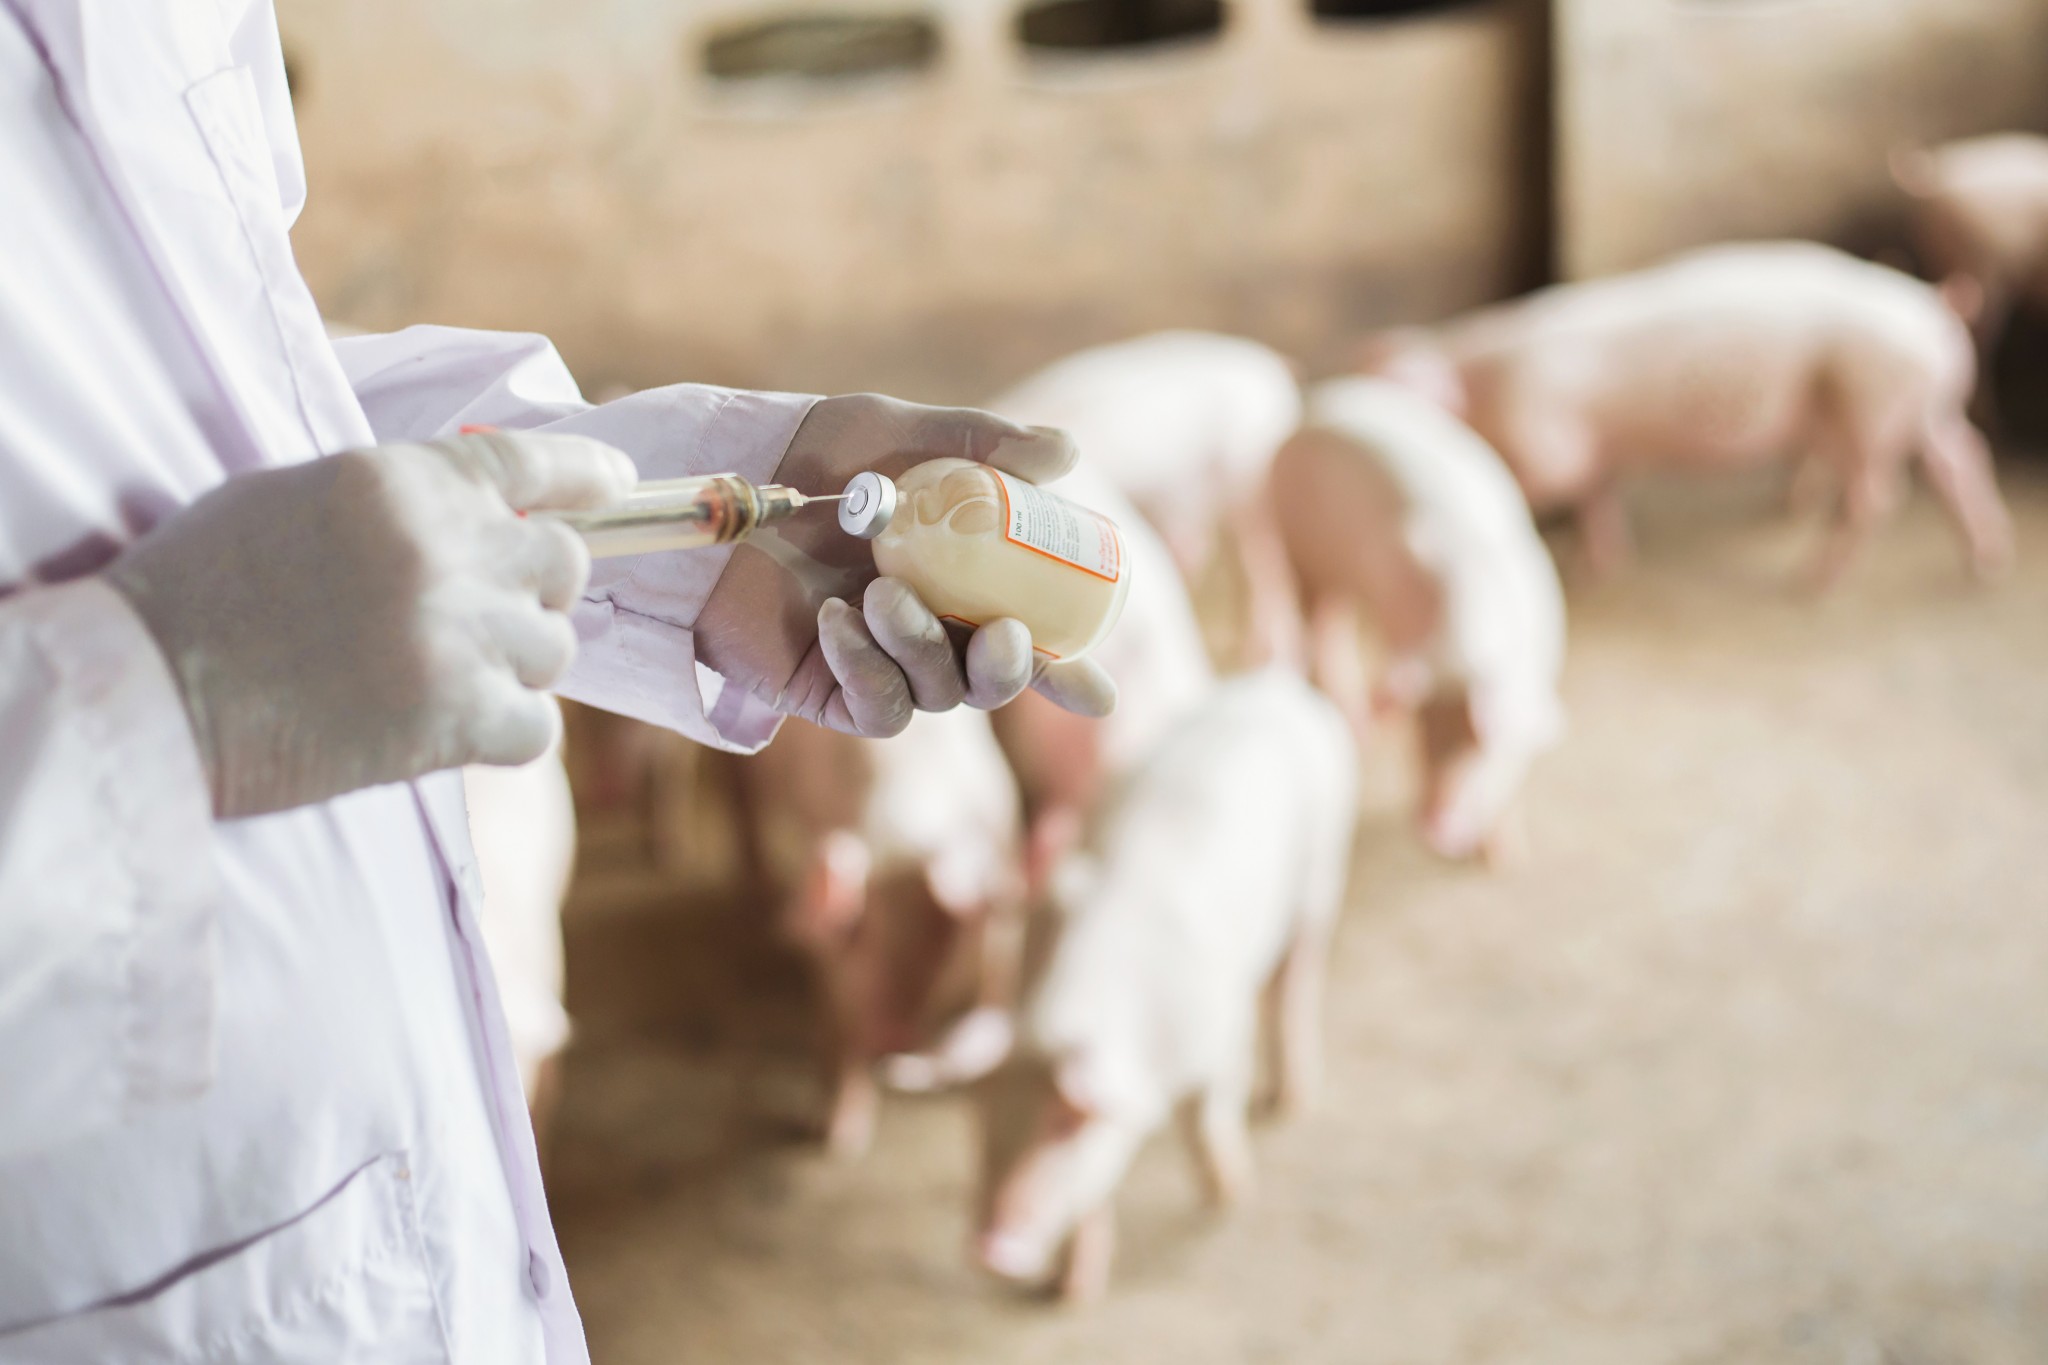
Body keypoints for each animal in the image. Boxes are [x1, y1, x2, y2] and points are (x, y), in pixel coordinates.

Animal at [974, 671, 1359, 1301]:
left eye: (1062, 1125)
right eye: (983, 1124)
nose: (988, 1251)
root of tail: (1282, 686)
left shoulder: (1220, 1028)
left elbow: (1207, 1118)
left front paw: (1228, 1200)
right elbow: (1093, 1190)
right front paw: (1070, 1295)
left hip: (1323, 867)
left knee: (1295, 978)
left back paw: (1287, 1102)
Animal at [1359, 242, 2015, 585]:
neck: (1479, 378)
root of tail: (1936, 305)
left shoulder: (1549, 442)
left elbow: (1556, 487)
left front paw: (1571, 557)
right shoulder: (1597, 452)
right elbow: (1600, 496)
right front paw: (1598, 562)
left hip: (1869, 409)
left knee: (1879, 495)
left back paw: (1811, 581)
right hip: (1928, 408)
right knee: (1965, 458)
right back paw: (1985, 562)